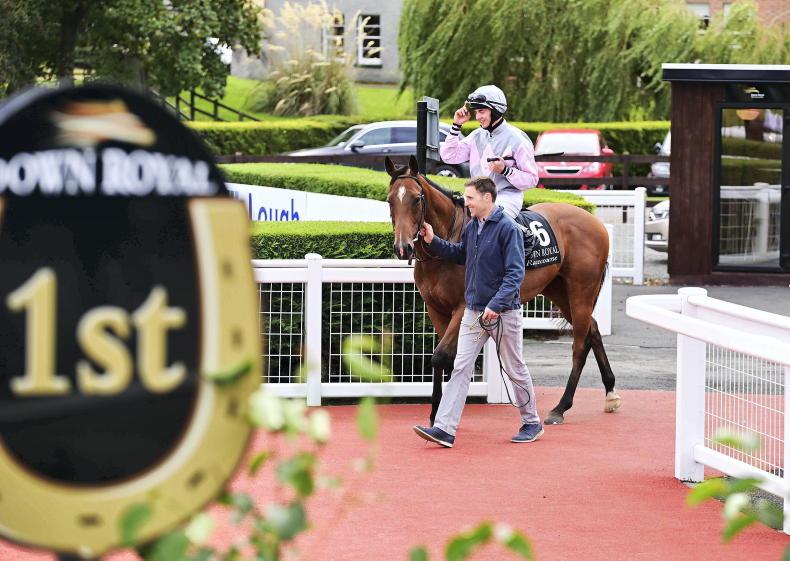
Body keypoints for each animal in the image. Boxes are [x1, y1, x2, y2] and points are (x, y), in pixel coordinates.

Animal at [384, 155, 621, 425]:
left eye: (416, 198)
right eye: (390, 199)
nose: (402, 247)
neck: (448, 248)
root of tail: (596, 222)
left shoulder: (464, 307)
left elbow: (441, 356)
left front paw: (438, 414)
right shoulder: (435, 309)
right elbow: (450, 358)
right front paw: (440, 413)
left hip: (581, 290)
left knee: (580, 345)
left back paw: (561, 407)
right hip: (559, 291)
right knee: (593, 329)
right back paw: (610, 392)